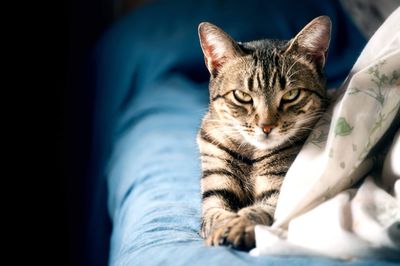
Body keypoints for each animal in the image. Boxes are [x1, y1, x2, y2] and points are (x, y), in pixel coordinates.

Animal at [197, 16, 332, 249]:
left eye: (291, 95)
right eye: (242, 95)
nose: (266, 126)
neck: (252, 154)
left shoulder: (282, 192)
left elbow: (257, 211)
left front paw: (237, 226)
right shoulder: (216, 188)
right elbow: (216, 214)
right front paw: (223, 228)